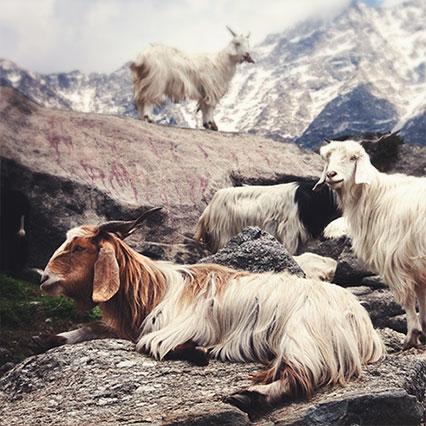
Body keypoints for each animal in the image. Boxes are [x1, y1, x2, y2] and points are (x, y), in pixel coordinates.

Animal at [40, 209, 386, 416]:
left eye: (79, 248)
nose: (45, 279)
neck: (154, 289)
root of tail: (362, 323)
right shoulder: (128, 326)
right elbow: (87, 330)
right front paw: (58, 336)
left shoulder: (170, 329)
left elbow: (152, 345)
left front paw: (198, 351)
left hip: (304, 337)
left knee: (300, 376)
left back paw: (251, 396)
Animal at [312, 136, 426, 350]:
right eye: (328, 158)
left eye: (352, 158)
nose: (331, 174)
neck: (374, 195)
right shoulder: (416, 265)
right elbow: (421, 297)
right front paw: (423, 330)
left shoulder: (395, 260)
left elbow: (407, 299)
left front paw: (412, 336)